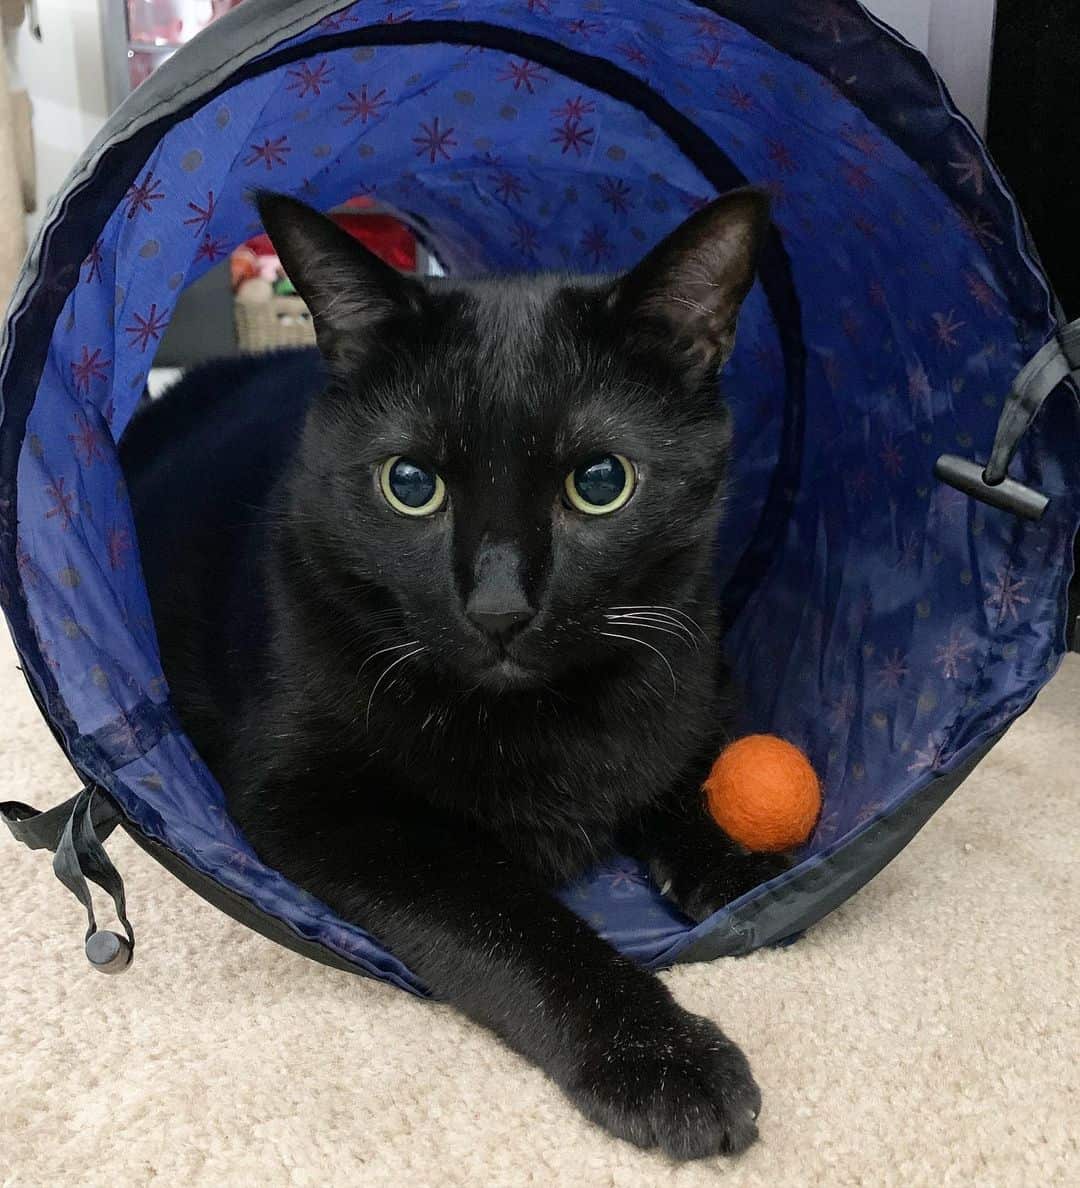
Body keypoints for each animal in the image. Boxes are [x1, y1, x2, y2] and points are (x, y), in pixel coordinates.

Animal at [120, 190, 793, 1164]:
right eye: (411, 484)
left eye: (601, 482)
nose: (500, 606)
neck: (539, 716)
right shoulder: (326, 807)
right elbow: (508, 920)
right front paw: (661, 1057)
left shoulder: (693, 657)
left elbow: (690, 760)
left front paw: (740, 859)